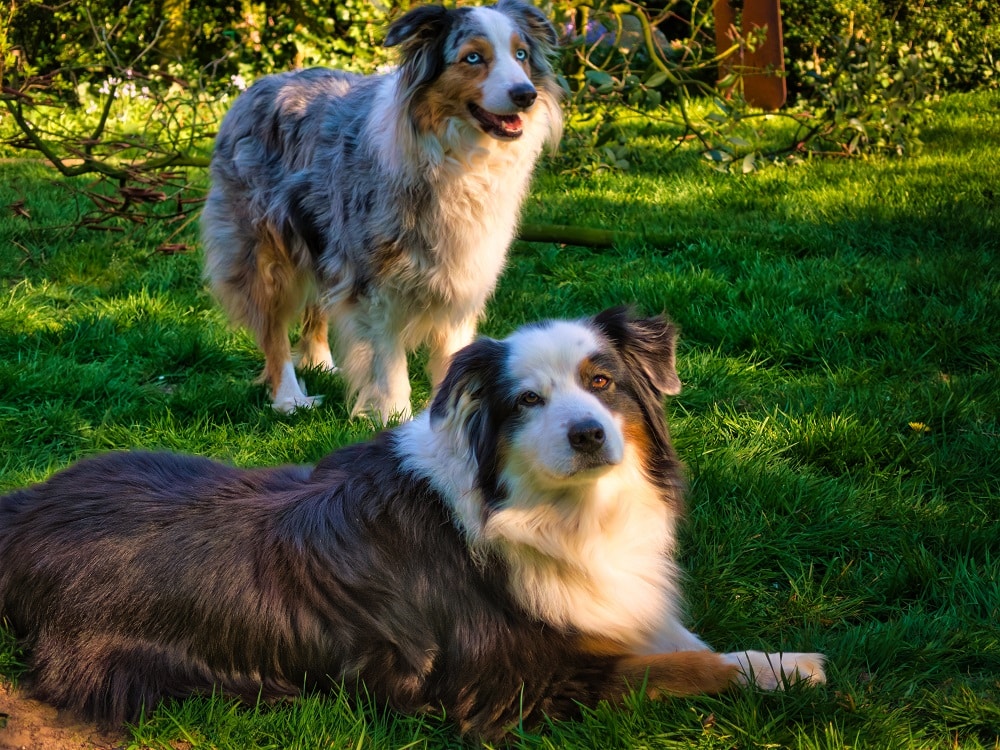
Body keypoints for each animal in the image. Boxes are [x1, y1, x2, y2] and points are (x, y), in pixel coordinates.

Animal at [0, 308, 824, 744]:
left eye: (603, 383)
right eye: (526, 401)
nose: (589, 434)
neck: (545, 510)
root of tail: (23, 504)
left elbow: (685, 642)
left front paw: (769, 660)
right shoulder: (511, 684)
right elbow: (686, 667)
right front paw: (793, 669)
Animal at [200, 0, 568, 420]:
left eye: (520, 55)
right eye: (473, 58)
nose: (526, 95)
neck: (458, 158)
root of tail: (256, 87)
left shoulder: (462, 275)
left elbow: (453, 355)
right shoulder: (375, 281)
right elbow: (388, 363)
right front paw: (393, 416)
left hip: (323, 236)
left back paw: (321, 361)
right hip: (263, 249)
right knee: (274, 328)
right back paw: (290, 397)